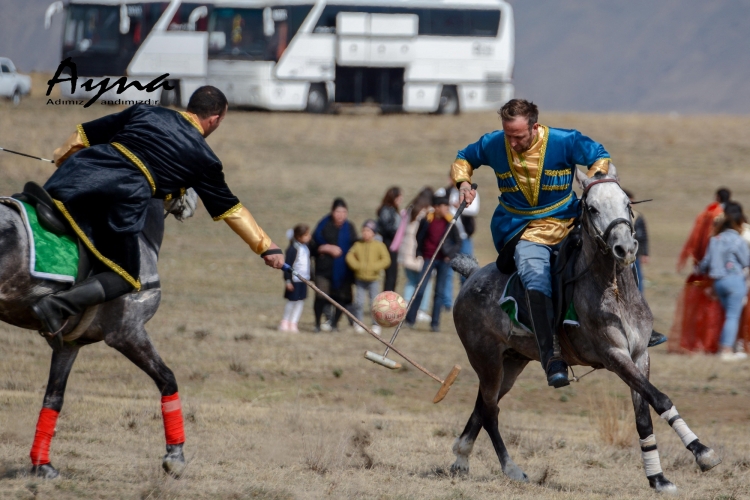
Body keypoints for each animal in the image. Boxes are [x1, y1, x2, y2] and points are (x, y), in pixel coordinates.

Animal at [0, 194, 194, 476]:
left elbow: (53, 398)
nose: (191, 204)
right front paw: (175, 455)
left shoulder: (68, 345)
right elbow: (167, 380)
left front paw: (43, 465)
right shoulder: (127, 332)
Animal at [452, 166, 724, 494]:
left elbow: (644, 416)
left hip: (512, 363)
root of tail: (470, 276)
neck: (614, 288)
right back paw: (511, 468)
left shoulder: (639, 356)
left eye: (627, 204)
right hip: (486, 359)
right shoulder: (614, 355)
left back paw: (461, 458)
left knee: (482, 406)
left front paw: (658, 478)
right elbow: (659, 399)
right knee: (491, 411)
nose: (625, 248)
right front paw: (702, 452)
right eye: (592, 208)